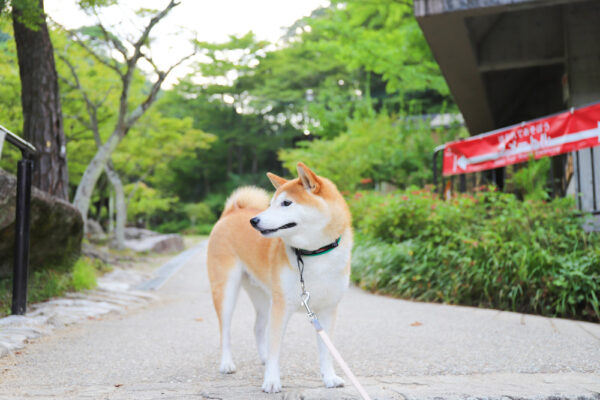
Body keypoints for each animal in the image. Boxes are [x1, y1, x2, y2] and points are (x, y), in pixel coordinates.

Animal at [206, 162, 352, 394]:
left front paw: (329, 377)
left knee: (258, 328)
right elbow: (276, 347)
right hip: (227, 290)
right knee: (225, 330)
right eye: (272, 203)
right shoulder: (282, 307)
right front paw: (272, 380)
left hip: (265, 297)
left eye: (286, 203)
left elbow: (326, 350)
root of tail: (231, 212)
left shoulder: (327, 310)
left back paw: (263, 358)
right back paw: (227, 363)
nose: (254, 221)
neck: (314, 254)